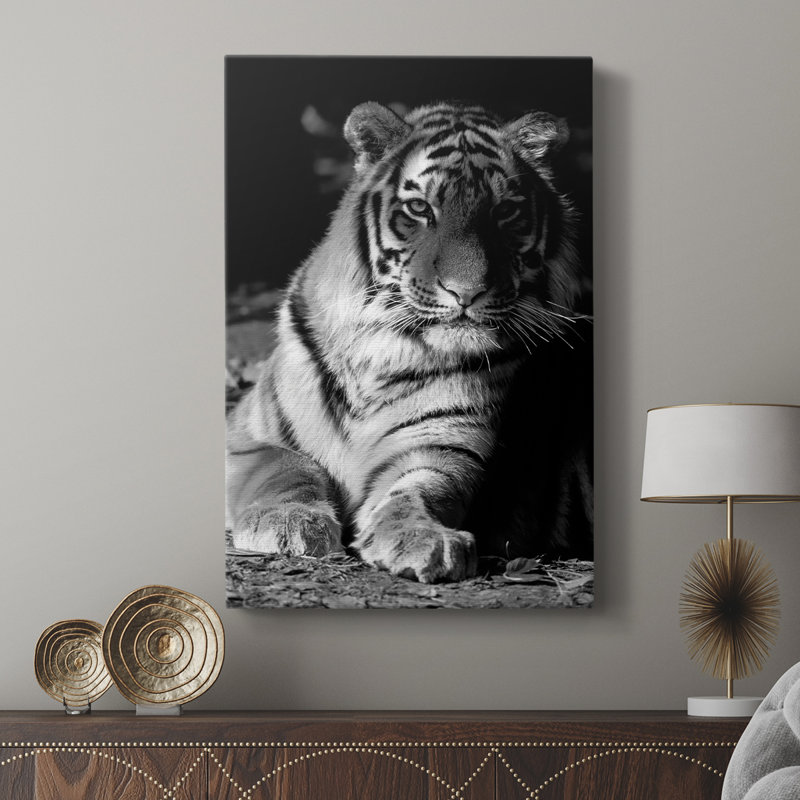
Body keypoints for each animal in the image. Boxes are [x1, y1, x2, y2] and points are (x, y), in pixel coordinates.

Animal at [226, 100, 592, 584]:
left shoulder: (442, 447)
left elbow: (418, 491)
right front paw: (289, 523)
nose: (466, 292)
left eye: (504, 212)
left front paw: (423, 538)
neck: (381, 350)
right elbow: (288, 467)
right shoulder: (247, 435)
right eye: (420, 208)